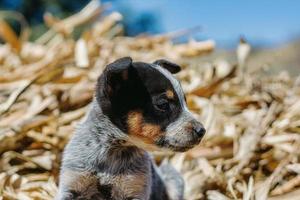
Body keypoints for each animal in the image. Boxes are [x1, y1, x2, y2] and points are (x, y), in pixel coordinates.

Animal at [57, 56, 205, 200]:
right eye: (163, 104)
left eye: (185, 102)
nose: (202, 131)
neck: (112, 151)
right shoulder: (73, 183)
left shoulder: (134, 187)